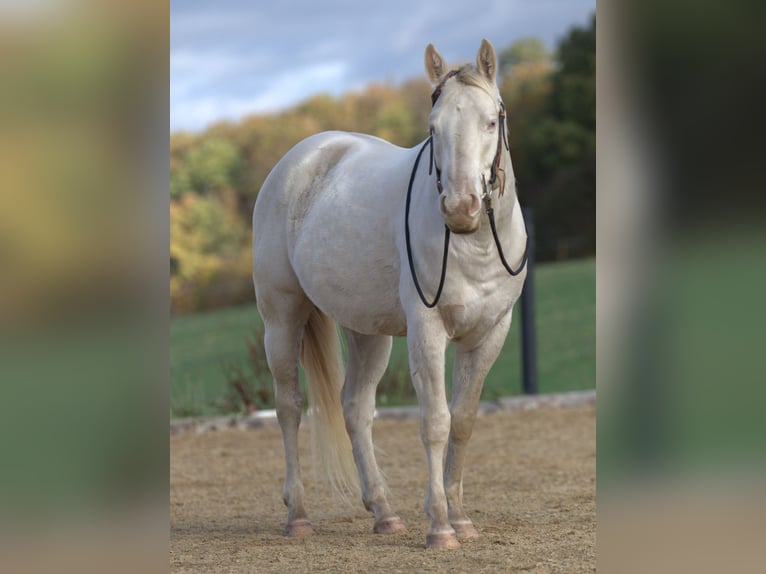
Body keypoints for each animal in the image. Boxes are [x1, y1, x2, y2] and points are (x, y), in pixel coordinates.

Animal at [252, 38, 528, 552]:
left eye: (490, 120)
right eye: (433, 128)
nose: (459, 208)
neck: (475, 245)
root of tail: (299, 160)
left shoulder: (490, 333)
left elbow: (463, 421)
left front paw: (461, 518)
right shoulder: (427, 330)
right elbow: (436, 422)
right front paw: (440, 527)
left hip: (368, 333)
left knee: (356, 408)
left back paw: (384, 513)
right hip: (281, 319)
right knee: (290, 407)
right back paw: (298, 515)